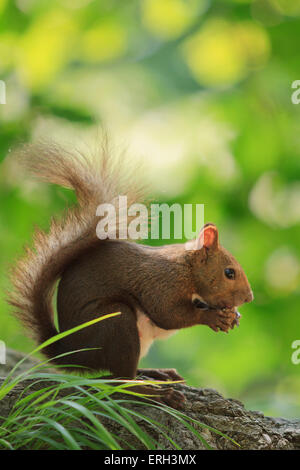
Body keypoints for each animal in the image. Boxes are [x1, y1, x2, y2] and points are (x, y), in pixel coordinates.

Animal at [7, 140, 253, 408]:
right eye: (229, 273)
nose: (249, 298)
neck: (187, 269)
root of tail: (74, 352)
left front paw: (234, 315)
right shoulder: (161, 283)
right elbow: (168, 315)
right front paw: (212, 317)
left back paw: (157, 374)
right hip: (116, 324)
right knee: (119, 381)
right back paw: (155, 392)